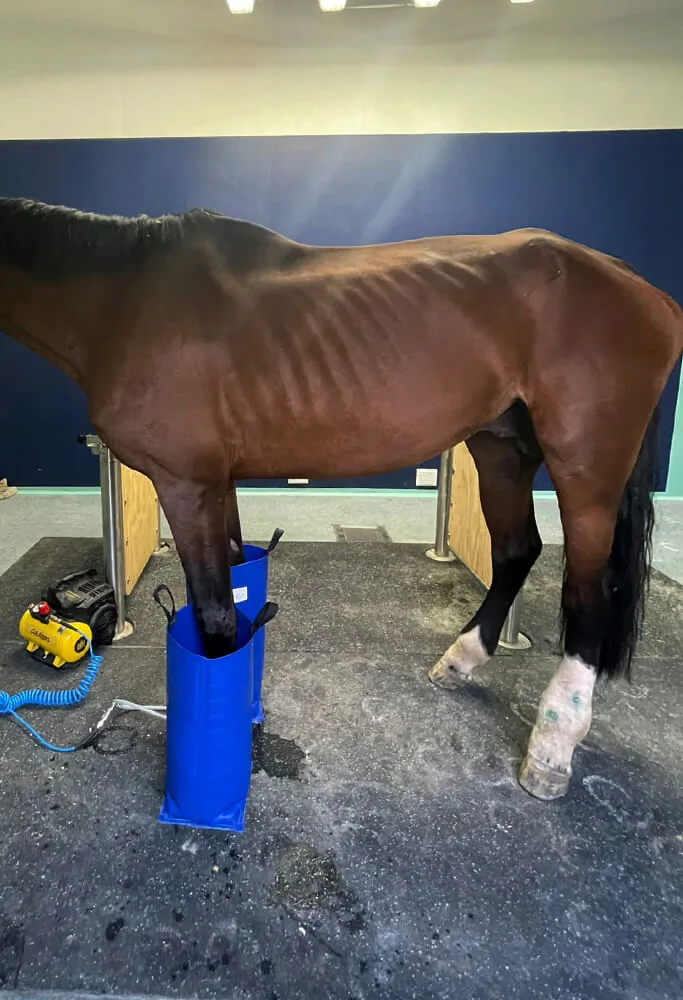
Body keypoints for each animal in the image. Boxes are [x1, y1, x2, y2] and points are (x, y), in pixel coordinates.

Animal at [1, 196, 681, 802]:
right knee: (518, 550)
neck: (122, 301)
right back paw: (461, 661)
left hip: (585, 468)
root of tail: (639, 286)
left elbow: (216, 619)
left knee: (588, 591)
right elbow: (239, 589)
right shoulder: (217, 483)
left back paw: (553, 744)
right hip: (500, 448)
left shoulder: (185, 482)